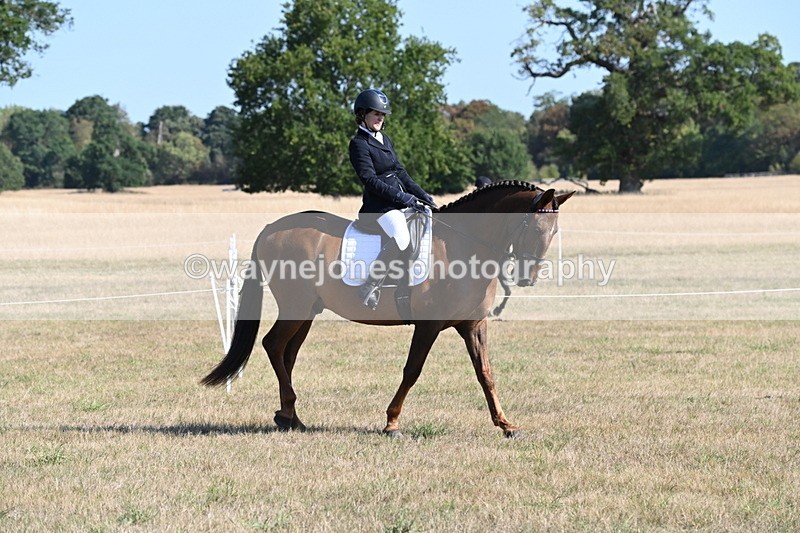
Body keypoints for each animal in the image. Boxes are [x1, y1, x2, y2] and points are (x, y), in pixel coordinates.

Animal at [201, 181, 574, 438]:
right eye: (533, 227)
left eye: (554, 231)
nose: (527, 278)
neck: (464, 246)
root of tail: (271, 228)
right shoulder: (429, 325)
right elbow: (412, 371)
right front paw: (392, 422)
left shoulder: (473, 325)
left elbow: (486, 373)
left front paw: (506, 424)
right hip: (296, 306)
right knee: (273, 345)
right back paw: (287, 414)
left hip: (307, 311)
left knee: (286, 353)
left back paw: (290, 416)